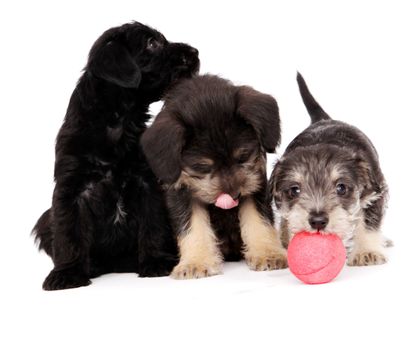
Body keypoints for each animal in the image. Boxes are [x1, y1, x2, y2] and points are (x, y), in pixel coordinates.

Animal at [32, 22, 198, 290]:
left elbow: (153, 224)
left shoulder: (146, 184)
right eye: (152, 43)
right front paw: (67, 273)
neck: (118, 122)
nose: (194, 52)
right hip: (45, 219)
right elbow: (69, 233)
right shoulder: (72, 190)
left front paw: (155, 261)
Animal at [141, 74, 288, 278]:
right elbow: (193, 227)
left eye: (243, 156)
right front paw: (196, 262)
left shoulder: (255, 186)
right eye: (202, 166)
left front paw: (268, 253)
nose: (235, 195)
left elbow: (259, 220)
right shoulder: (182, 194)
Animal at [270, 73, 390, 266]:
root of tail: (324, 119)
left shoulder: (375, 193)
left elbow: (369, 223)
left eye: (341, 188)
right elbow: (288, 219)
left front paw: (367, 251)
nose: (318, 221)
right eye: (294, 190)